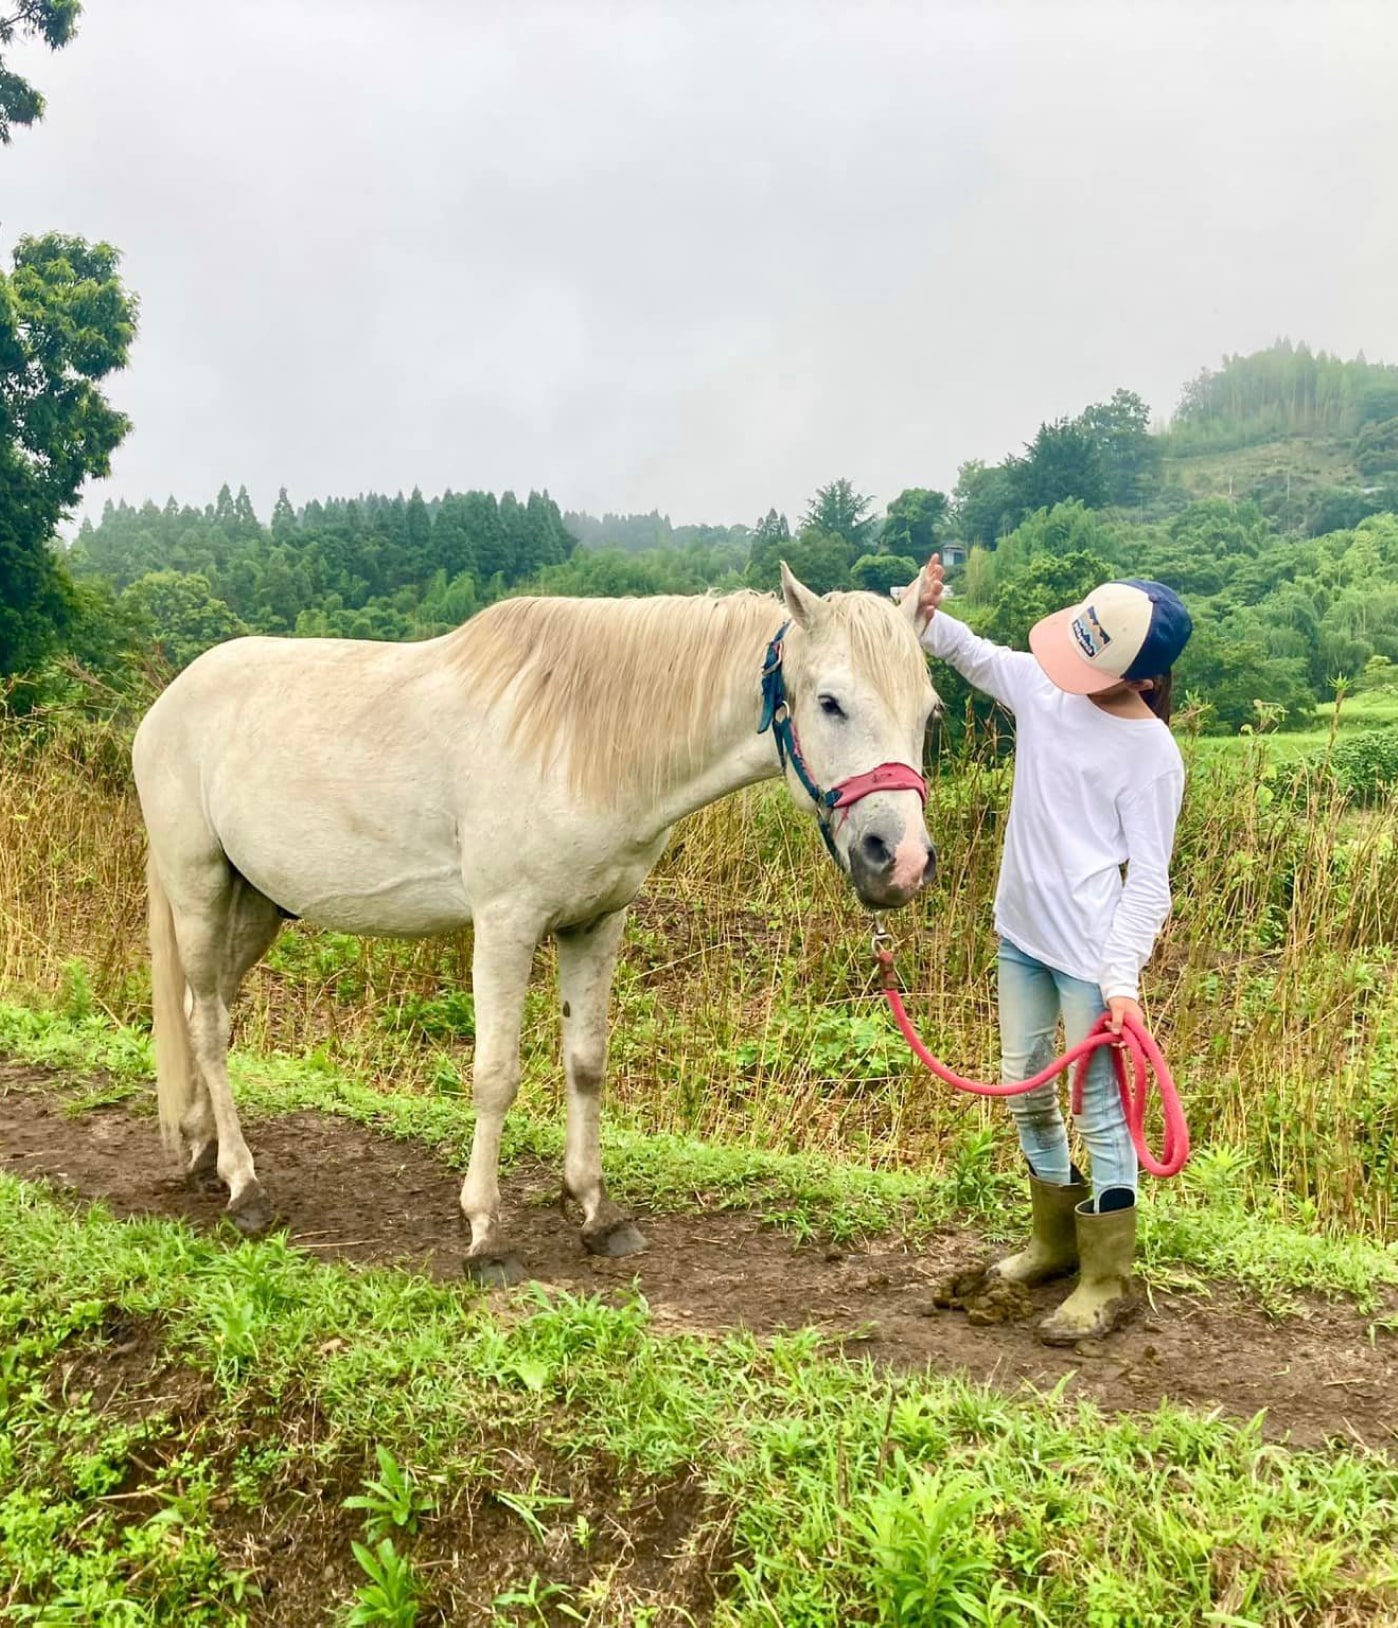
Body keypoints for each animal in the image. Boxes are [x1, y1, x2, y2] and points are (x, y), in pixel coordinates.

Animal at [134, 566, 937, 1276]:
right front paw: (485, 1234)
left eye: (929, 711)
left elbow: (586, 1064)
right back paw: (245, 1186)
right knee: (210, 1028)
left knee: (203, 1010)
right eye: (830, 702)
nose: (898, 860)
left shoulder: (596, 924)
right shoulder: (505, 927)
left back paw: (203, 1151)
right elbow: (496, 1076)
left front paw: (597, 1212)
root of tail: (170, 703)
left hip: (256, 907)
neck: (580, 741)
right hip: (199, 891)